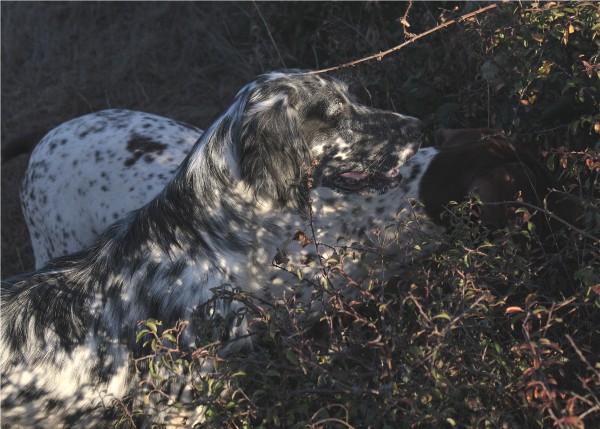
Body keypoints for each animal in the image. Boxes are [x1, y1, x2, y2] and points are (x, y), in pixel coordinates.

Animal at [4, 70, 426, 424]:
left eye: (352, 97)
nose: (418, 128)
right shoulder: (179, 404)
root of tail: (43, 140)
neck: (201, 240)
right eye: (336, 115)